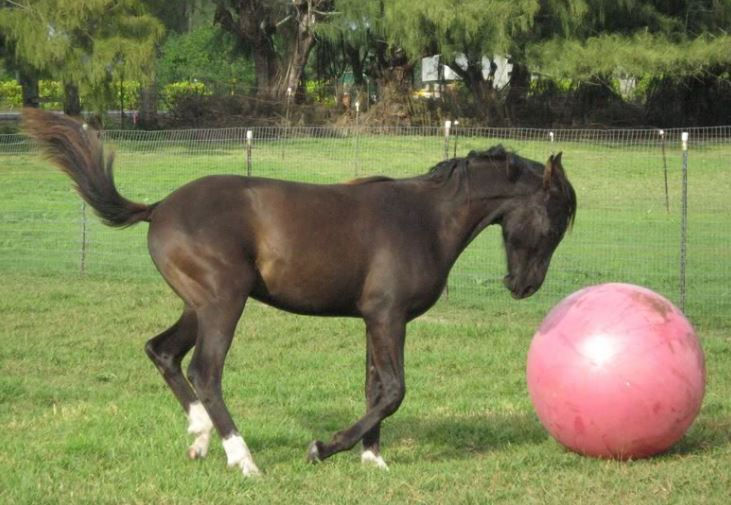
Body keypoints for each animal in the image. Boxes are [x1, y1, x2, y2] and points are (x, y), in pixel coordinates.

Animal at [23, 108, 576, 477]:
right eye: (555, 221)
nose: (524, 286)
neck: (425, 219)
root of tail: (158, 208)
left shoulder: (373, 319)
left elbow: (375, 387)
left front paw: (372, 459)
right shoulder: (389, 316)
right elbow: (394, 390)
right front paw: (321, 449)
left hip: (196, 305)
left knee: (162, 352)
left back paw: (200, 439)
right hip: (224, 301)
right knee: (205, 371)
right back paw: (242, 459)